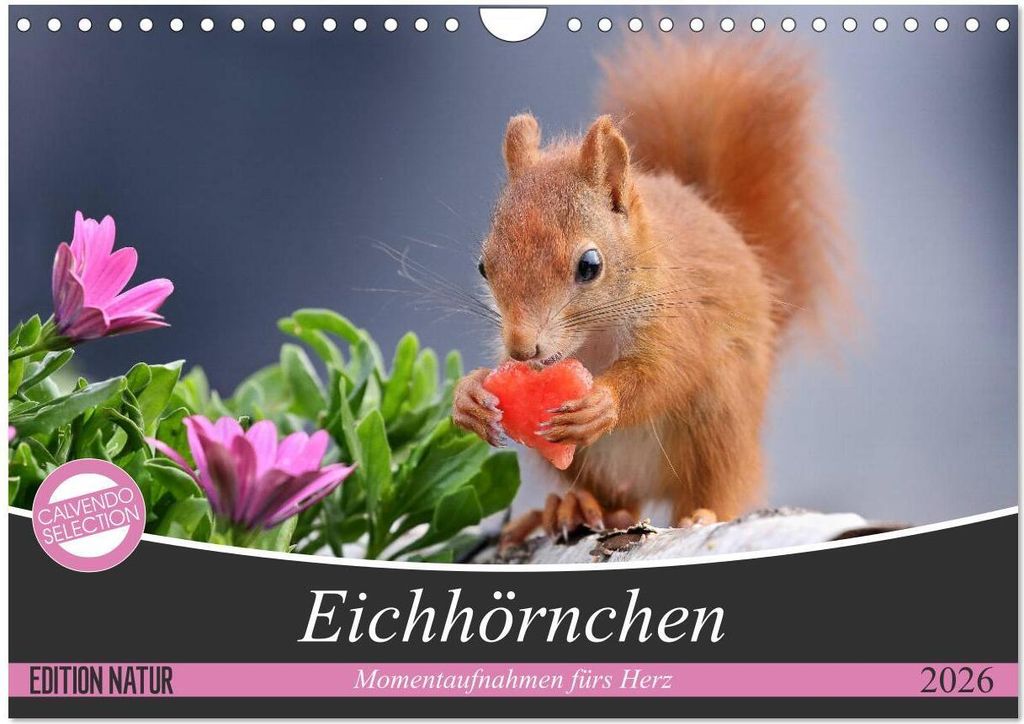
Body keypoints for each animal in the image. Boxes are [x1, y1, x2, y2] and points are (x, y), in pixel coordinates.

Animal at [452, 39, 844, 545]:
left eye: (590, 265)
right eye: (484, 266)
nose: (523, 349)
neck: (593, 340)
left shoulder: (680, 319)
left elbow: (667, 371)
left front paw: (604, 401)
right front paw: (470, 394)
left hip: (720, 423)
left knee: (716, 484)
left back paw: (701, 515)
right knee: (617, 501)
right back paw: (575, 506)